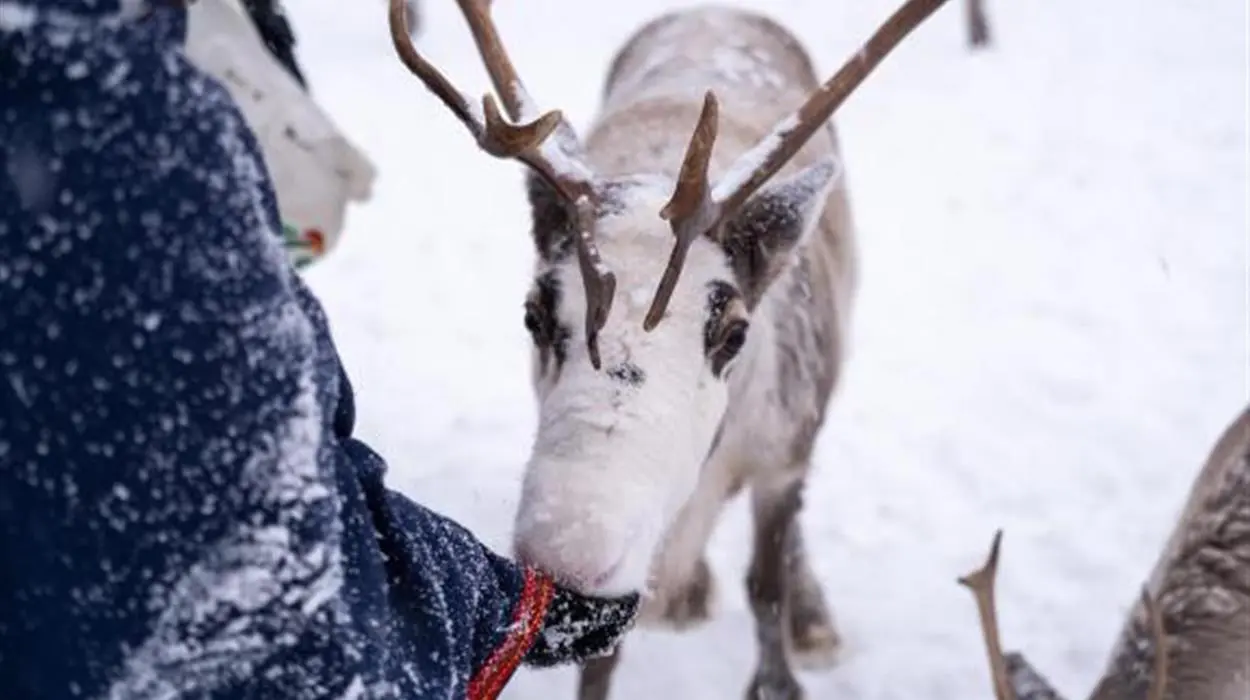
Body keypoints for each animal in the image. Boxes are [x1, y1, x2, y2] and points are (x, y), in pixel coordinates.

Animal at [385, 0, 954, 698]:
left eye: (734, 333)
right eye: (532, 315)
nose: (571, 555)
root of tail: (718, 10)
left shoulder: (784, 449)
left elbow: (765, 586)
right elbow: (601, 662)